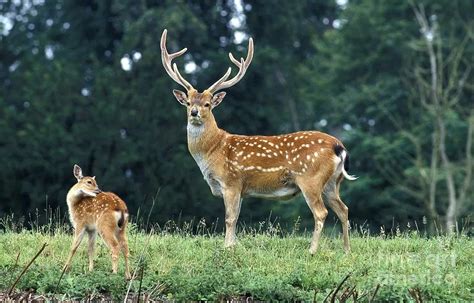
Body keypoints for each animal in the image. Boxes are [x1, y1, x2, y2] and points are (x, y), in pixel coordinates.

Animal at [160, 30, 356, 254]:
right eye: (188, 102)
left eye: (208, 104)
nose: (194, 112)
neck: (213, 150)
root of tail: (339, 147)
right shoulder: (241, 189)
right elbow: (235, 218)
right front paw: (233, 246)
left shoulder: (232, 181)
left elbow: (230, 219)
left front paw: (227, 248)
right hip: (332, 182)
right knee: (343, 209)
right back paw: (347, 250)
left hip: (310, 178)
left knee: (321, 212)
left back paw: (312, 250)